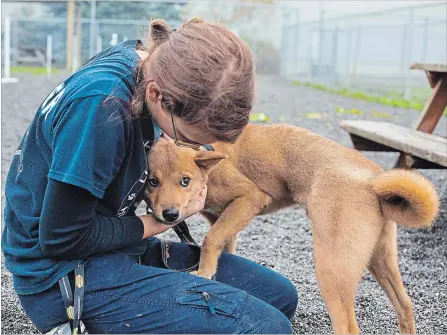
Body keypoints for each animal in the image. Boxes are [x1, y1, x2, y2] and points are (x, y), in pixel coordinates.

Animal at [145, 124, 440, 335]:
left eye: (185, 181)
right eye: (152, 181)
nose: (170, 214)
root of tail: (373, 179)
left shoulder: (251, 197)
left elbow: (210, 239)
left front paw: (205, 273)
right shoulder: (227, 219)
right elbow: (222, 244)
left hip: (331, 268)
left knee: (347, 326)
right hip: (380, 258)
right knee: (405, 306)